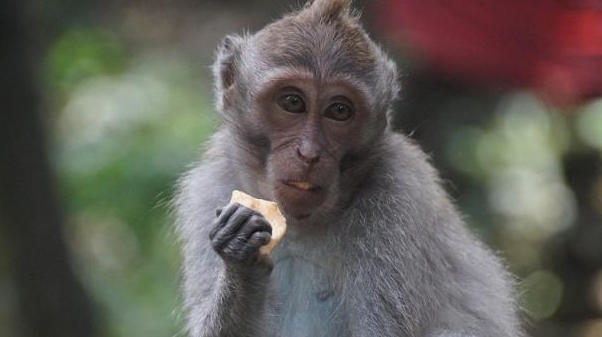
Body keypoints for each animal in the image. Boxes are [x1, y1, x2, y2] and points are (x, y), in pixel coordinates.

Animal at [172, 0, 520, 336]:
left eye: (339, 110)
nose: (309, 153)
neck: (301, 226)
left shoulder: (399, 197)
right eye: (292, 102)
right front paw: (240, 257)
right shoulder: (209, 189)